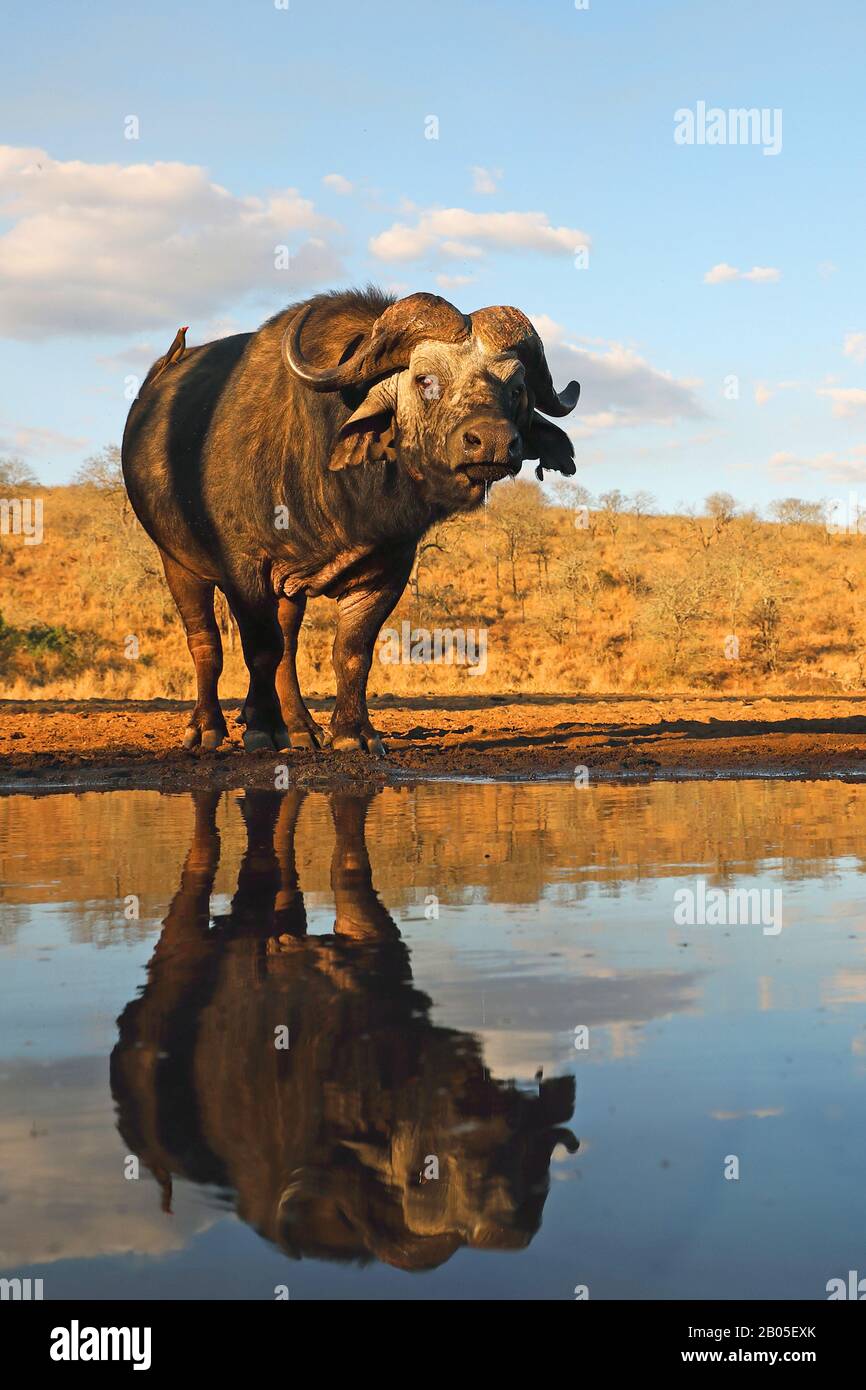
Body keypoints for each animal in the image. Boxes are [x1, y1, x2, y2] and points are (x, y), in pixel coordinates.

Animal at [122, 286, 578, 756]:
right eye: (425, 380)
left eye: (517, 387)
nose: (493, 441)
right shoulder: (244, 568)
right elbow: (259, 648)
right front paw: (261, 728)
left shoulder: (387, 571)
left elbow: (350, 651)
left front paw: (352, 731)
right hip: (178, 563)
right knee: (206, 643)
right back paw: (207, 726)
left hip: (288, 591)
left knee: (288, 644)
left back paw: (301, 726)